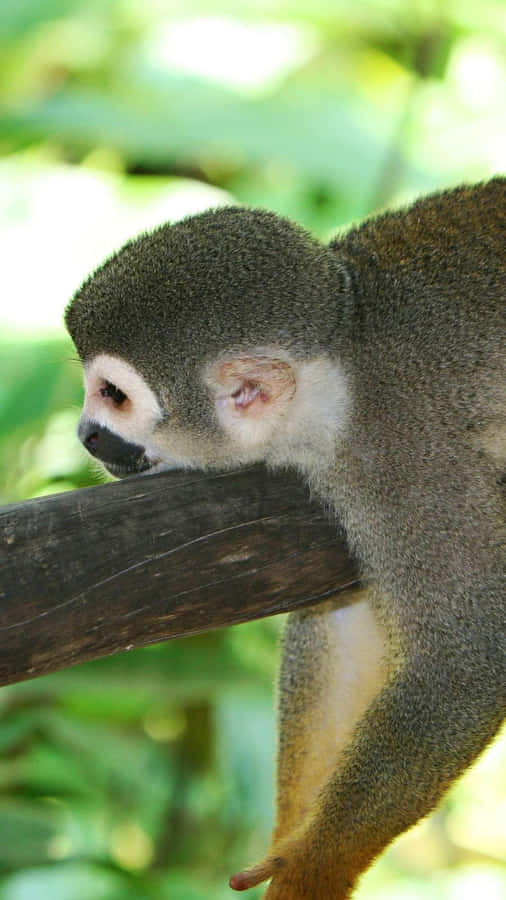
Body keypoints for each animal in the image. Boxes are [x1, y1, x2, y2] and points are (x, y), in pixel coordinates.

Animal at [65, 178, 505, 899]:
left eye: (113, 395)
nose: (84, 435)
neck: (344, 363)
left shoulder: (406, 454)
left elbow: (465, 662)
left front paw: (314, 866)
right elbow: (348, 630)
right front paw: (289, 836)